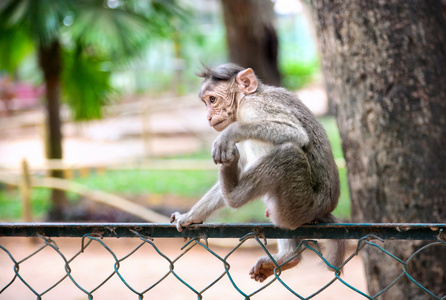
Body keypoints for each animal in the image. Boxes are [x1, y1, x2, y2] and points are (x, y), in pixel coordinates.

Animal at [171, 62, 344, 282]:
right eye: (205, 103)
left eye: (212, 100)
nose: (208, 116)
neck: (249, 97)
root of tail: (323, 210)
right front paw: (190, 216)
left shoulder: (253, 107)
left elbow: (295, 133)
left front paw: (231, 132)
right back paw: (289, 257)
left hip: (300, 203)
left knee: (290, 152)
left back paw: (232, 194)